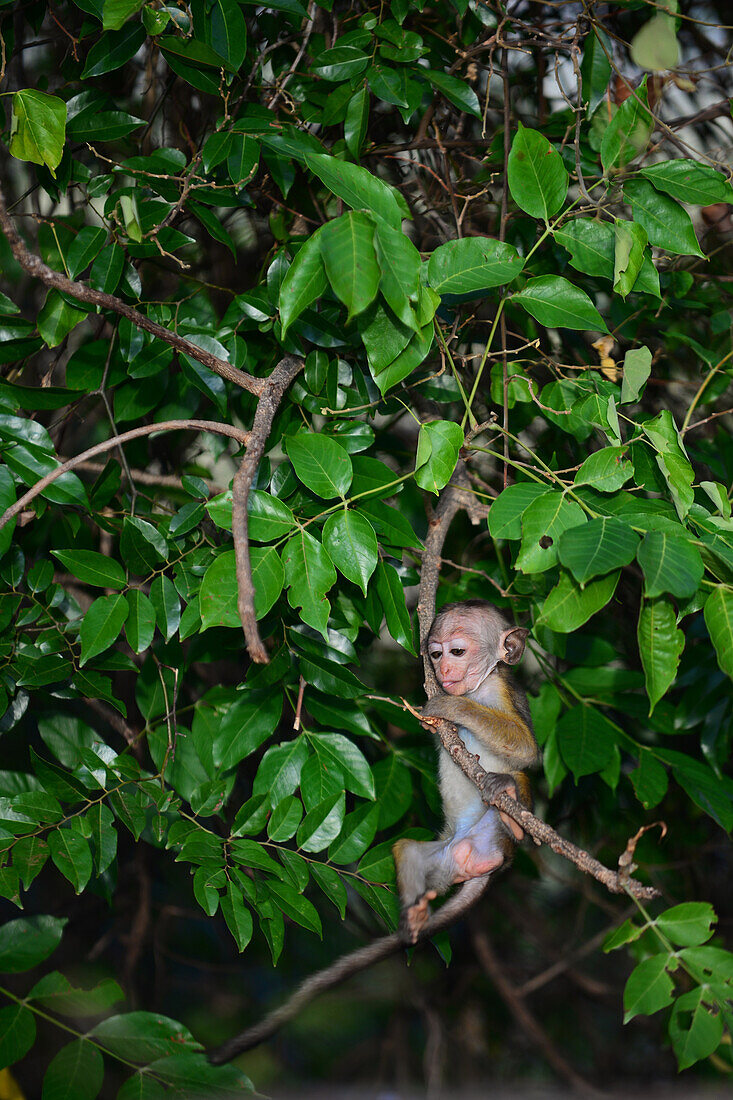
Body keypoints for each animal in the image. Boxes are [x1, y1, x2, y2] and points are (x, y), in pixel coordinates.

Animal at [394, 598, 537, 941]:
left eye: (457, 652)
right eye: (436, 654)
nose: (443, 670)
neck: (477, 688)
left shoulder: (500, 689)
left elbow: (526, 749)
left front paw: (449, 706)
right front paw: (431, 722)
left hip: (497, 835)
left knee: (518, 780)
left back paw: (512, 810)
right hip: (441, 857)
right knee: (406, 849)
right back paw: (415, 915)